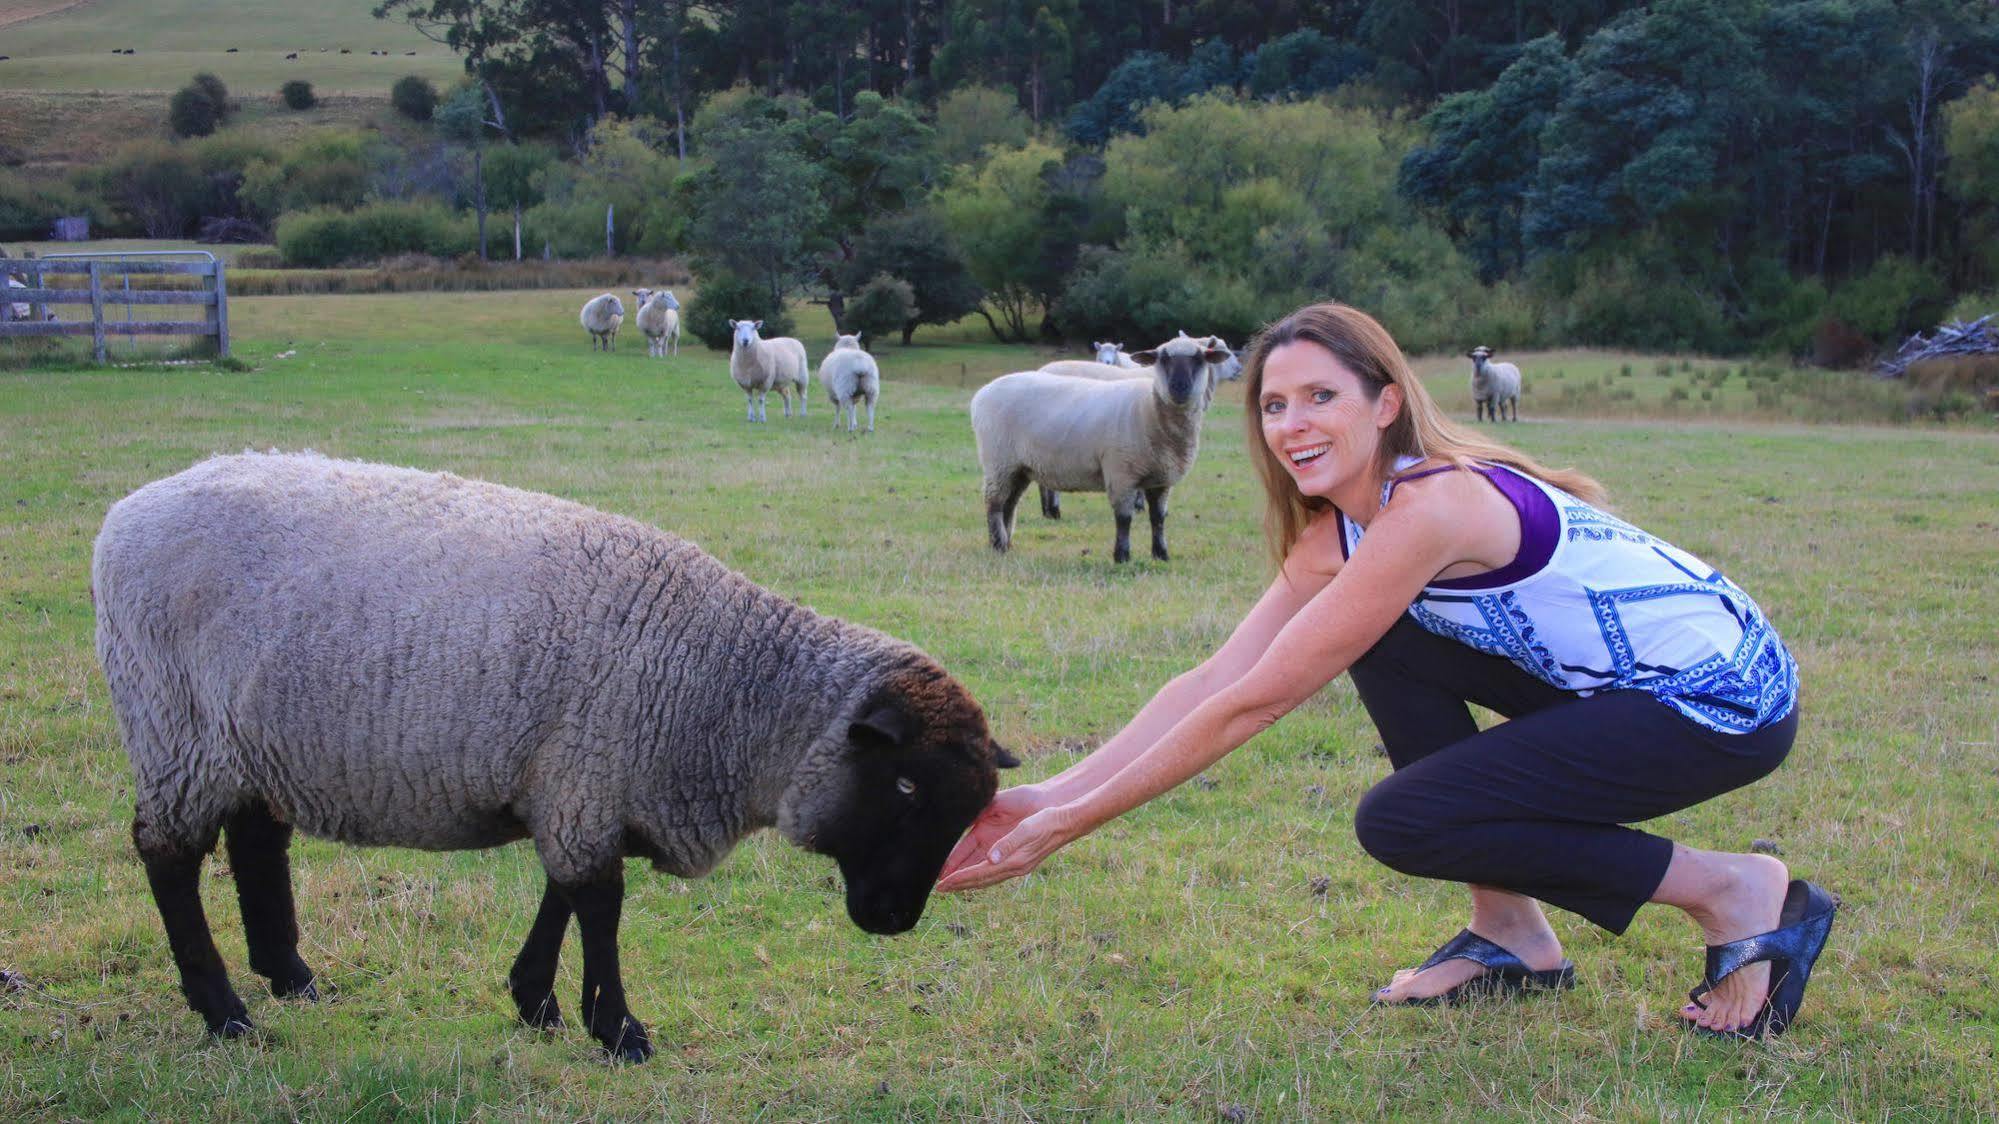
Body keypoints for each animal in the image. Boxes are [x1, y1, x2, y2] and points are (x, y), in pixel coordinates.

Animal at [89, 448, 1015, 1056]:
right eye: (904, 787)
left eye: (968, 810)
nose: (894, 920)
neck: (729, 689)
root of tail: (126, 514)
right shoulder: (591, 769)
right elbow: (598, 904)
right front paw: (618, 1031)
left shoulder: (578, 780)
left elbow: (564, 893)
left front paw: (536, 1001)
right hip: (174, 730)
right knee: (167, 856)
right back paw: (224, 1011)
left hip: (248, 740)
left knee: (255, 841)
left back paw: (290, 975)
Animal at [963, 330, 1223, 560]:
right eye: (1163, 358)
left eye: (1199, 359)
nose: (1179, 387)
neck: (1149, 407)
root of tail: (981, 394)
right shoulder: (1121, 472)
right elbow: (1124, 518)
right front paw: (1122, 556)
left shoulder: (1161, 478)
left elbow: (1158, 518)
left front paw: (1161, 555)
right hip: (998, 461)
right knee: (994, 503)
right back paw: (997, 544)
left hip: (1018, 466)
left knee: (1009, 504)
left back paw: (1006, 544)